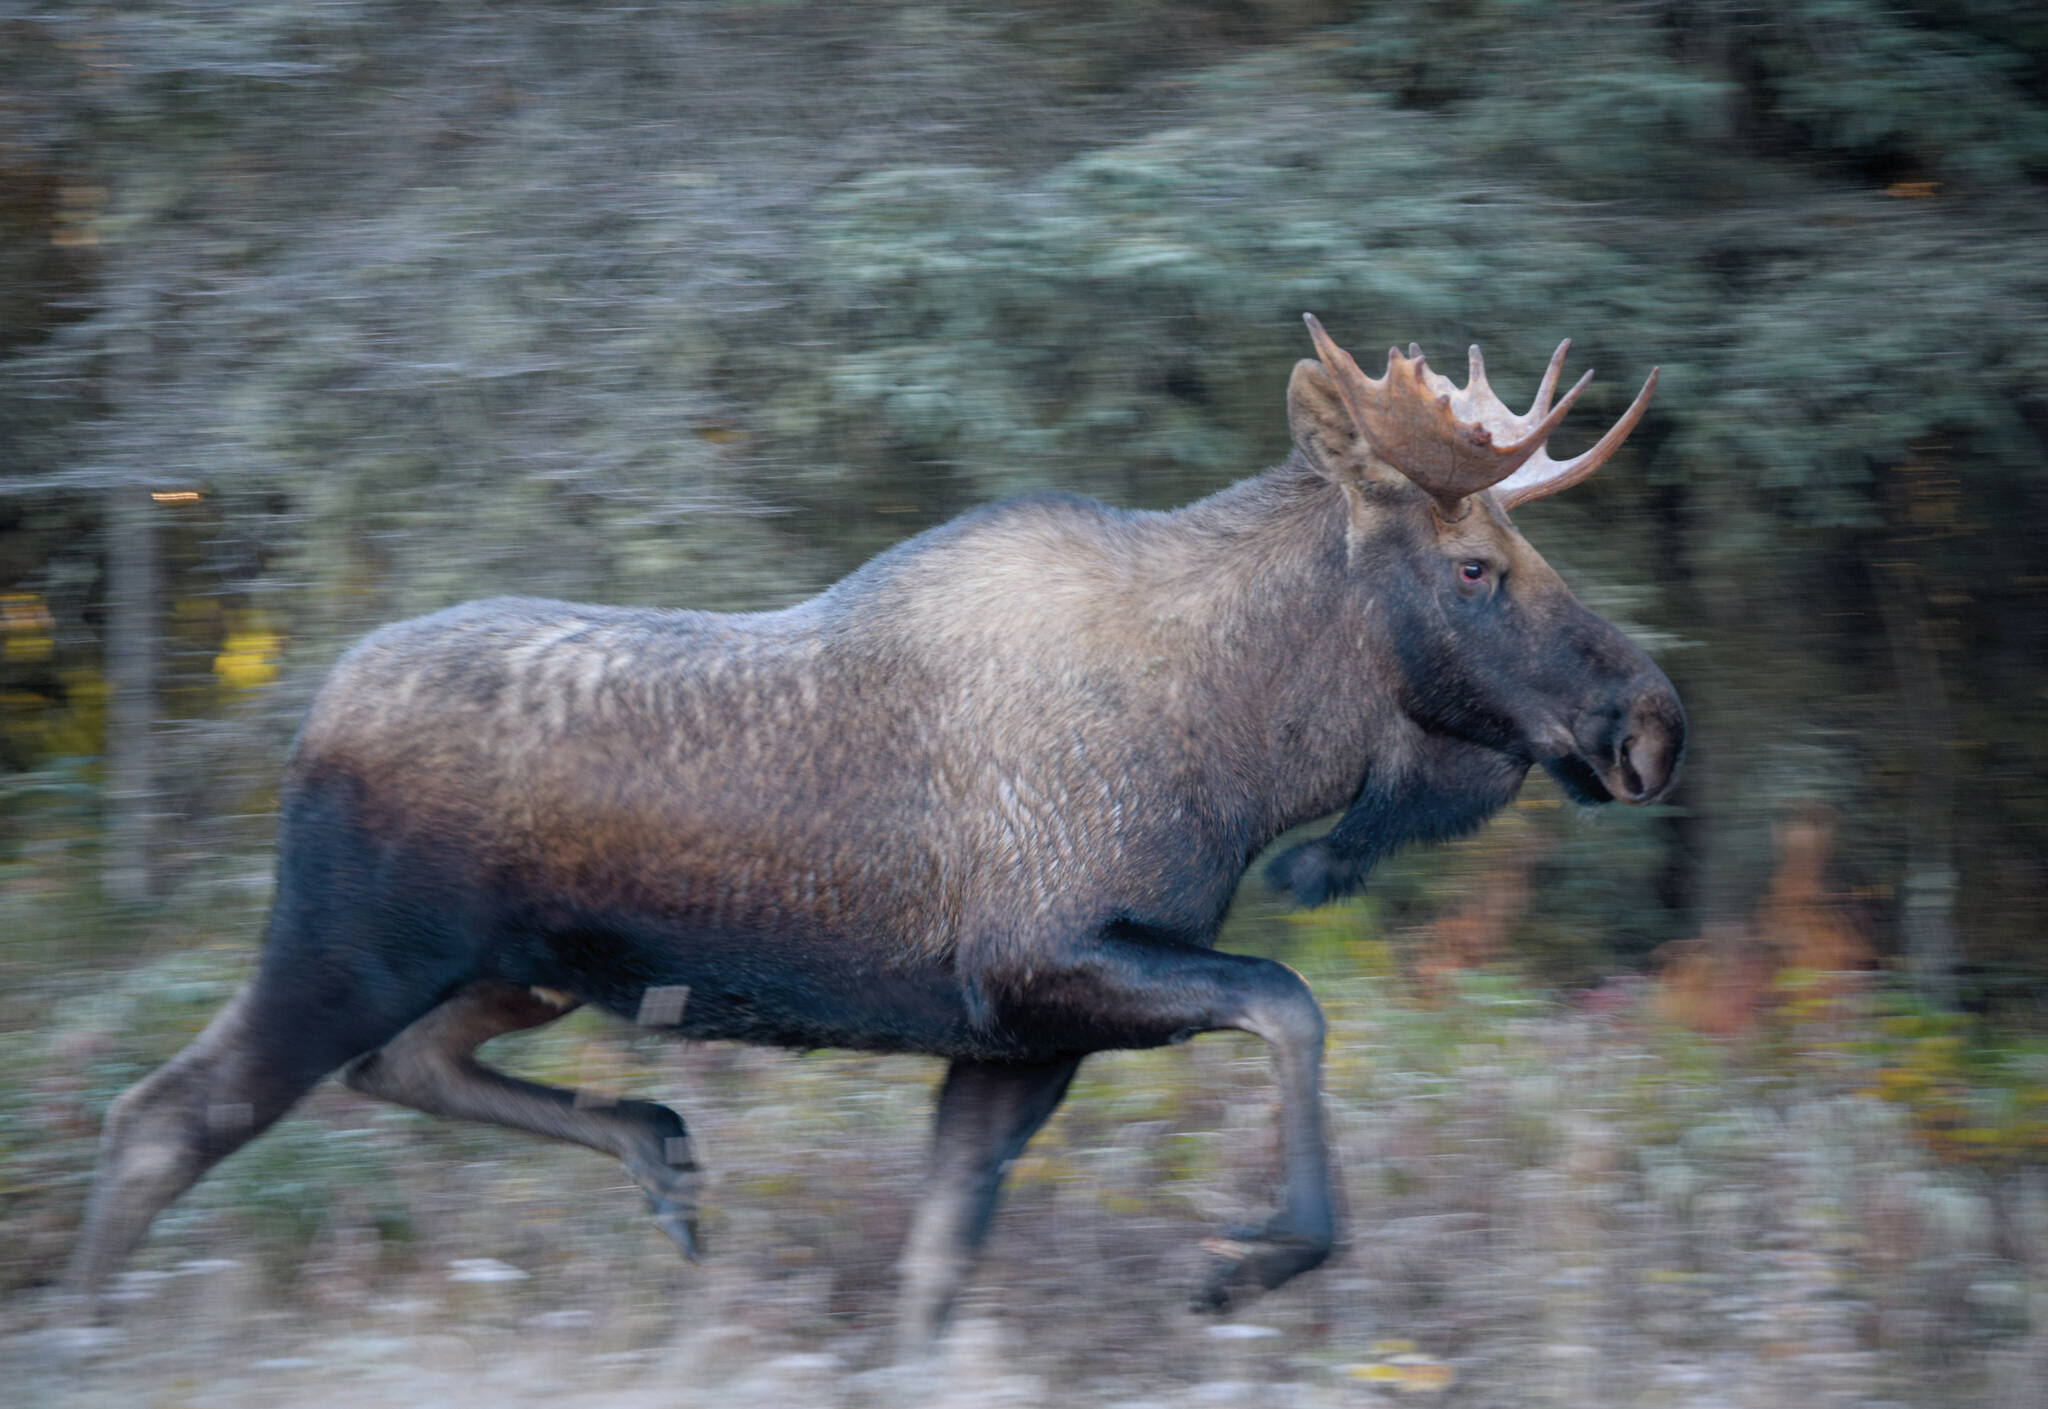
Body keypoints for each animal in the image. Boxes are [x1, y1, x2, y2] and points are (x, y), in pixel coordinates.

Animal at [72, 313, 1687, 1351]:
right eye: (1475, 566)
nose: (1652, 720)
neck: (1252, 760)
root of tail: (313, 707)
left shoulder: (1016, 1039)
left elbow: (934, 1264)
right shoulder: (1046, 963)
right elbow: (1291, 1004)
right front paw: (1250, 1261)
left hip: (513, 969)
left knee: (397, 1068)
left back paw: (660, 1152)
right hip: (347, 943)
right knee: (168, 1114)